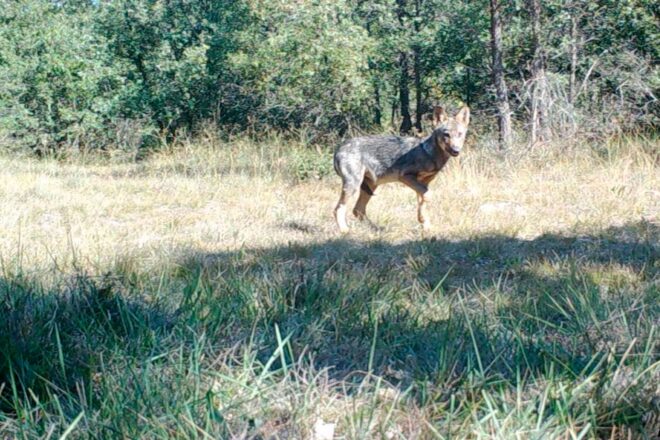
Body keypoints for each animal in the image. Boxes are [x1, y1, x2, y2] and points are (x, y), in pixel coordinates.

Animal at [336, 105, 470, 234]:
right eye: (446, 135)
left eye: (460, 134)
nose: (456, 151)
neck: (429, 154)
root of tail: (339, 148)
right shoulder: (405, 176)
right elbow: (428, 196)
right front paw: (423, 221)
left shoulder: (423, 183)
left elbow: (422, 203)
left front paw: (425, 225)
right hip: (354, 185)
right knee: (338, 208)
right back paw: (344, 230)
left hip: (371, 186)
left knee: (357, 210)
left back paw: (377, 229)